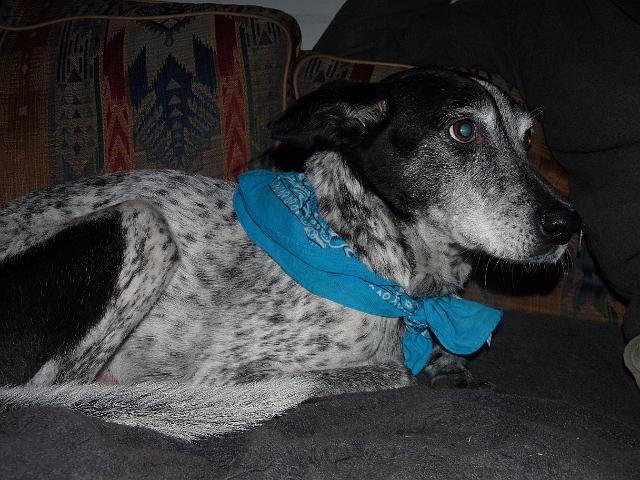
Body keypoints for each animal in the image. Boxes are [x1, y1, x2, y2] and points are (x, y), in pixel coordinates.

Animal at [0, 67, 578, 440]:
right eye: (463, 129)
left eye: (528, 140)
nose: (568, 224)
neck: (366, 251)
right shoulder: (226, 377)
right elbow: (391, 371)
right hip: (142, 221)